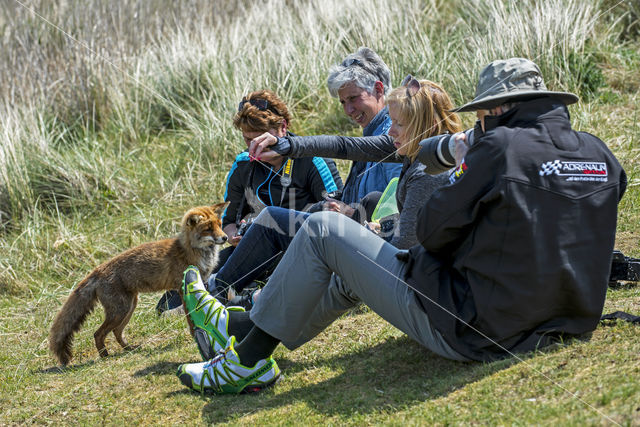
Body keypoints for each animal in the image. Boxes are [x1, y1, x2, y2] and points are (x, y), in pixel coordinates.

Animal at [50, 204, 230, 368]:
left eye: (219, 225)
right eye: (208, 229)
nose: (226, 238)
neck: (191, 250)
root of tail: (98, 270)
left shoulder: (202, 282)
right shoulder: (181, 288)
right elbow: (190, 318)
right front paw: (195, 335)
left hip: (129, 307)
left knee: (116, 332)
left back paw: (129, 349)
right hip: (120, 311)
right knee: (98, 334)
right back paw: (104, 356)